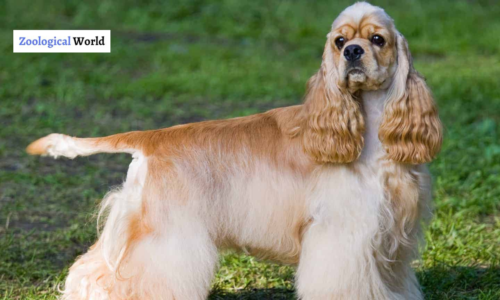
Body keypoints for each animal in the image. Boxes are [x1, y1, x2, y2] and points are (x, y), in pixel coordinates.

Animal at [27, 1, 442, 298]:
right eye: (339, 41)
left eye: (378, 39)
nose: (353, 52)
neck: (368, 125)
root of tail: (150, 138)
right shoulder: (343, 232)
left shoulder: (392, 235)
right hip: (165, 235)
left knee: (92, 268)